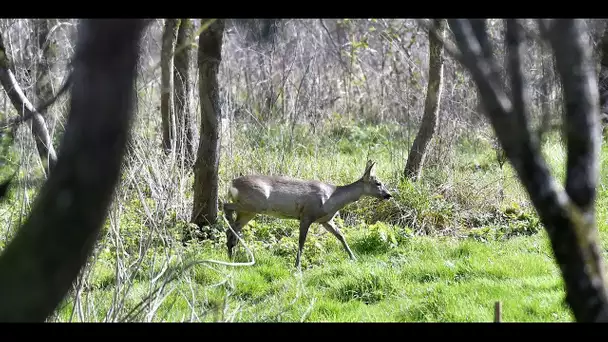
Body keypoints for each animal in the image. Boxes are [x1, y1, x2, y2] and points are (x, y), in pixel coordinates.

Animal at [221, 160, 392, 270]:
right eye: (378, 183)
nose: (388, 195)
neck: (332, 197)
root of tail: (232, 184)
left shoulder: (325, 220)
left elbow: (340, 235)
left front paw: (353, 257)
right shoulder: (306, 215)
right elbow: (301, 242)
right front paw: (297, 267)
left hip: (248, 211)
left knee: (232, 228)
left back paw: (231, 254)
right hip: (254, 204)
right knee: (225, 206)